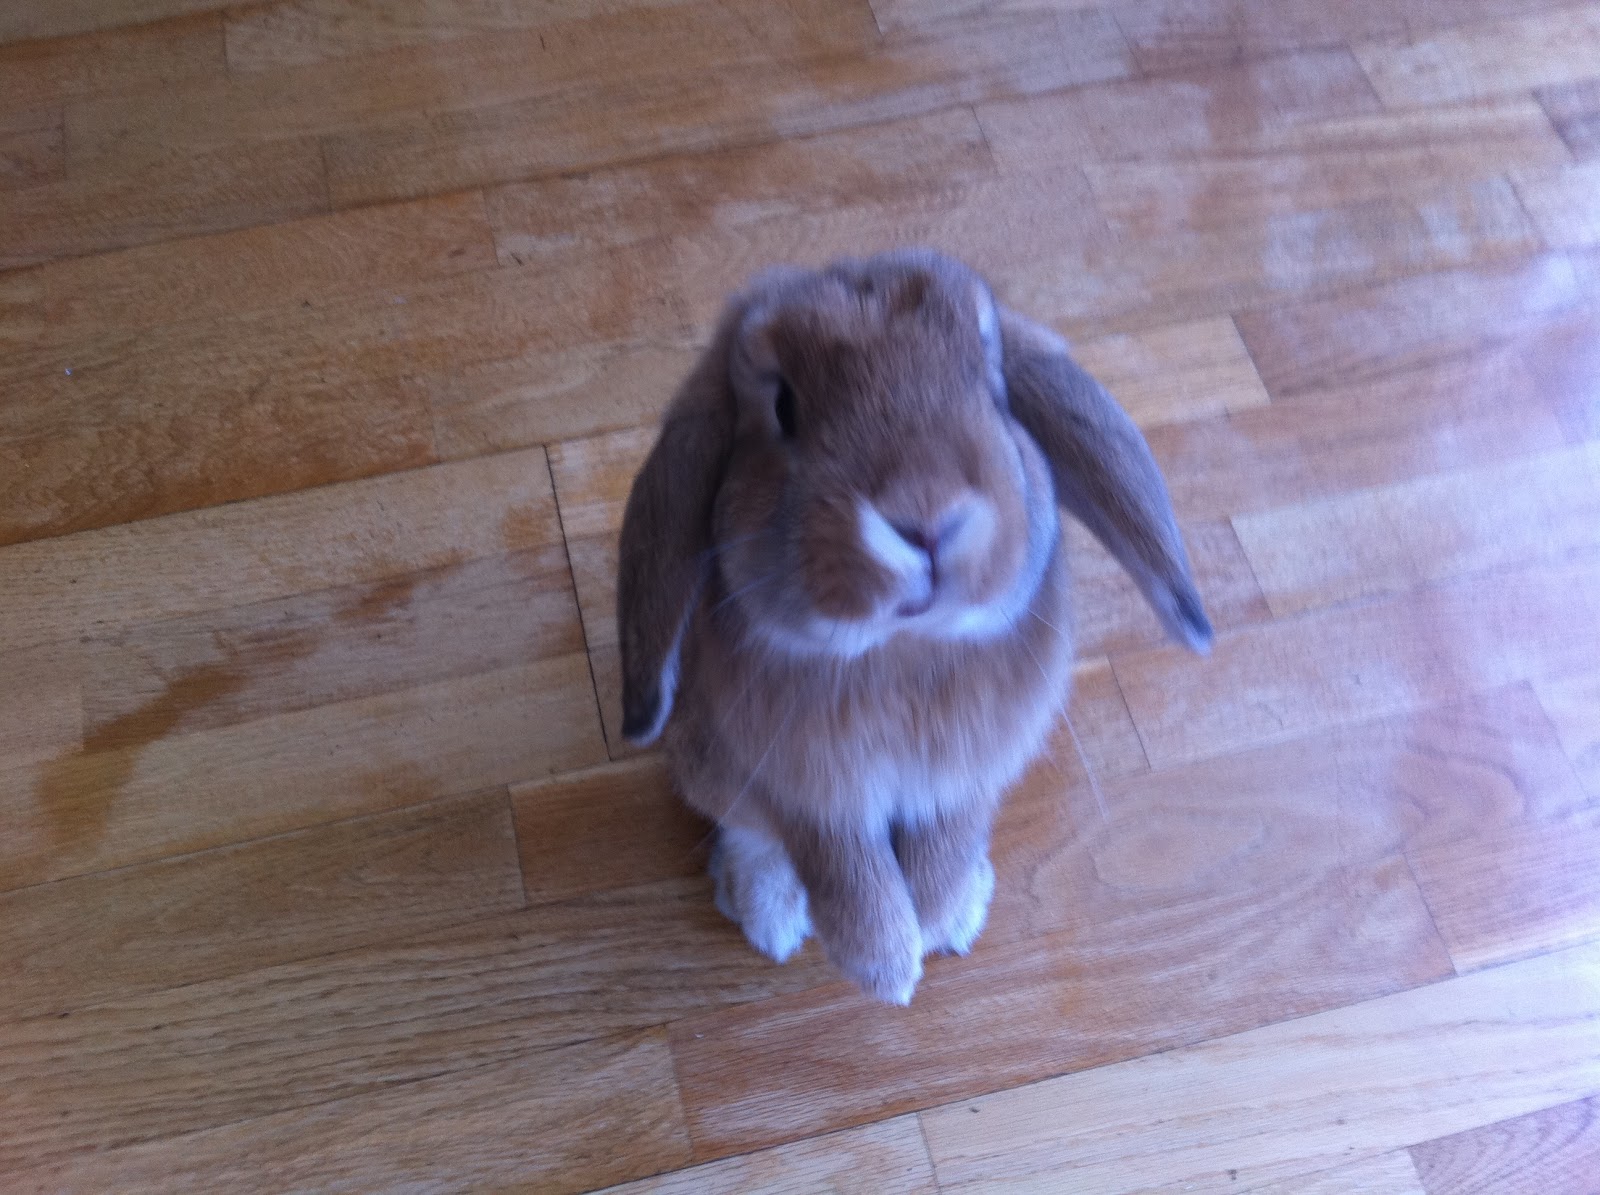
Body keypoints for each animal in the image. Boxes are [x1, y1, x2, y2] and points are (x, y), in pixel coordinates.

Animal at [616, 248, 1212, 1005]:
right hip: (707, 760)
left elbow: (947, 840)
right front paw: (886, 966)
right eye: (783, 407)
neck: (901, 649)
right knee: (750, 831)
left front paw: (932, 918)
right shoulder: (810, 792)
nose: (927, 517)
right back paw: (769, 911)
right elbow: (843, 865)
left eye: (992, 390)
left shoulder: (968, 773)